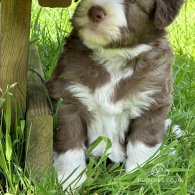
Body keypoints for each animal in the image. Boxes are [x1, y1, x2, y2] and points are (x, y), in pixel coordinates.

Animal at [46, 0, 184, 190]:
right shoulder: (68, 98)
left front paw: (140, 175)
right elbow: (70, 144)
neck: (113, 57)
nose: (95, 12)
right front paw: (71, 180)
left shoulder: (152, 101)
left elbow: (142, 142)